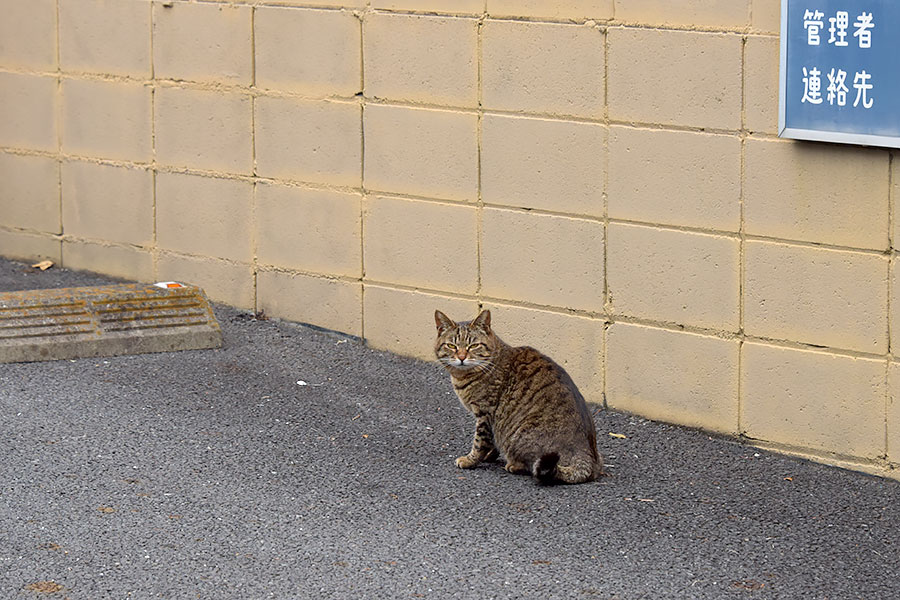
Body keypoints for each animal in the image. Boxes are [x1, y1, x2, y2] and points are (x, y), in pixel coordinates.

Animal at [434, 310, 600, 482]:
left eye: (473, 345)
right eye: (452, 346)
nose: (461, 357)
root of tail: (586, 456)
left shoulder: (485, 414)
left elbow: (479, 442)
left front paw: (469, 460)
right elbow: (492, 443)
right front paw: (489, 456)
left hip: (520, 437)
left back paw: (513, 465)